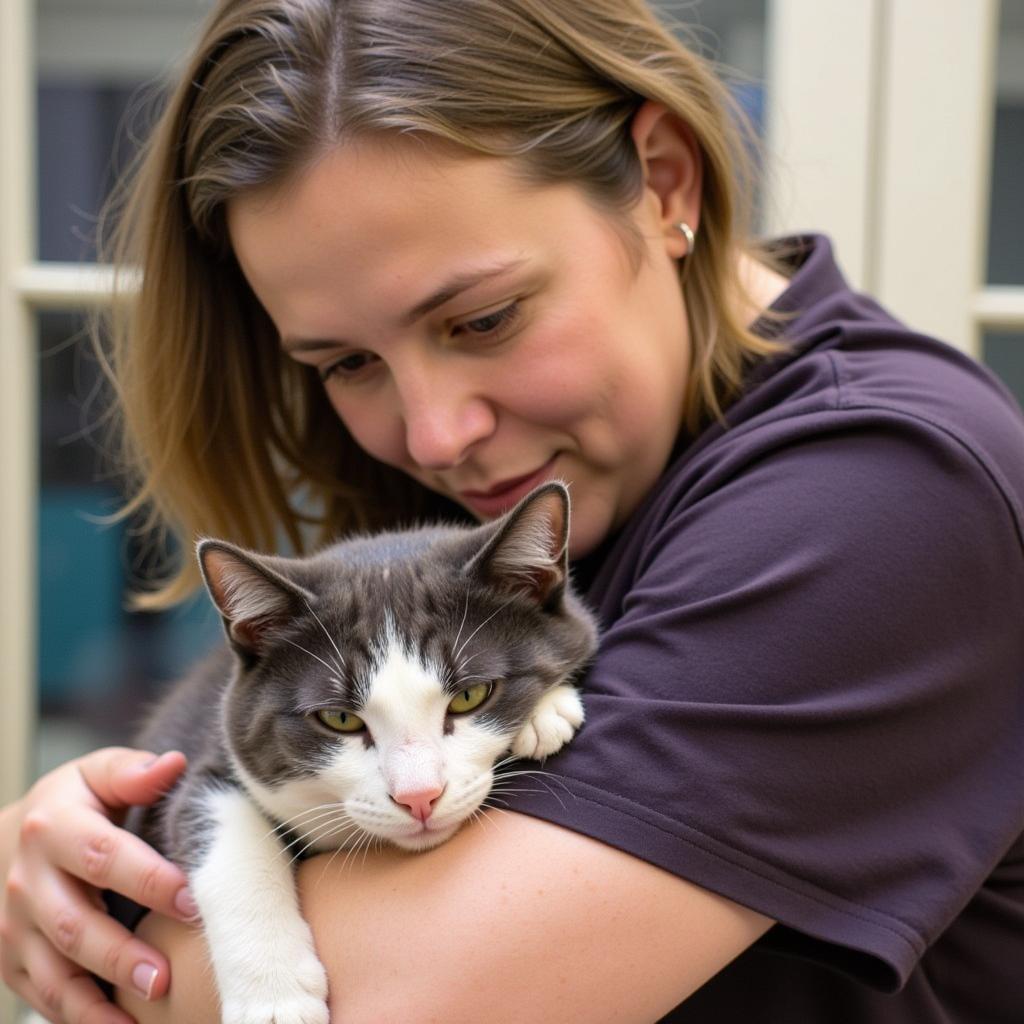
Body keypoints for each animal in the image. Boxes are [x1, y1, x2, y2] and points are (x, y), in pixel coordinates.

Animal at [129, 481, 598, 1024]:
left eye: (471, 694)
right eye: (340, 719)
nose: (419, 796)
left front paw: (547, 711)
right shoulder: (200, 755)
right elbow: (218, 826)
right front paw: (275, 997)